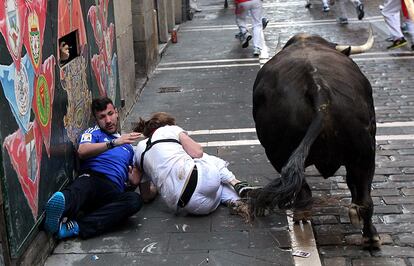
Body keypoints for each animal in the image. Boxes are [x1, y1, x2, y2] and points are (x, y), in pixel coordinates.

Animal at [251, 27, 380, 249]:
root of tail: (319, 89)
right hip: (364, 153)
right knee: (364, 198)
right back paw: (370, 235)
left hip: (281, 153)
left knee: (305, 191)